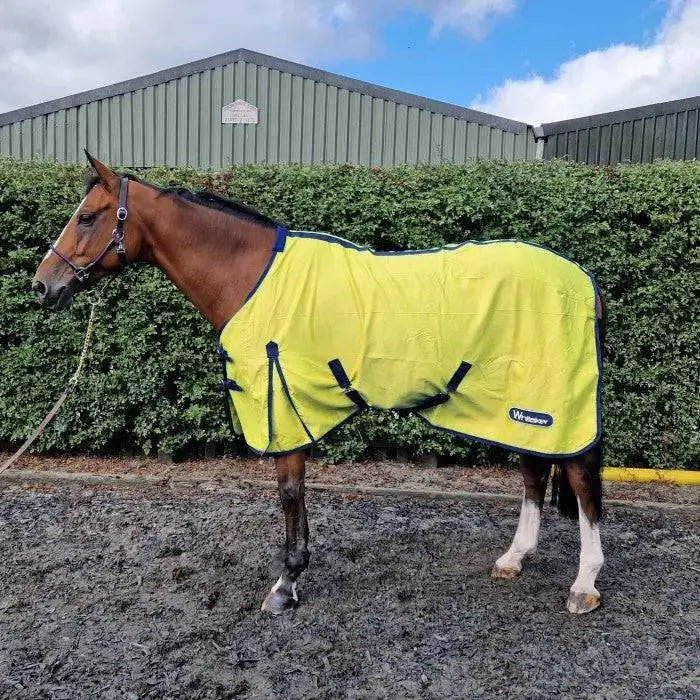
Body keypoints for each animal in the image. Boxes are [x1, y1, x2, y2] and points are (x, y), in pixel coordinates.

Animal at [31, 153, 600, 612]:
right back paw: (513, 559)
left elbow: (288, 492)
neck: (252, 277)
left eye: (86, 217)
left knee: (581, 478)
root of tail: (581, 279)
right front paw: (296, 572)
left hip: (551, 403)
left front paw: (286, 584)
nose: (41, 286)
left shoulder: (280, 403)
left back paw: (585, 585)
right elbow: (297, 493)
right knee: (534, 471)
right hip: (518, 407)